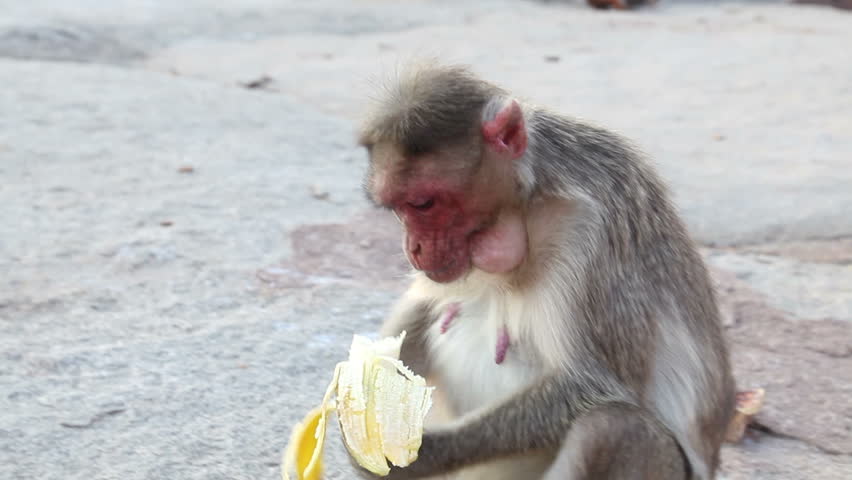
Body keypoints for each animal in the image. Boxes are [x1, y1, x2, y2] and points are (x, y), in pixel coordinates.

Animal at [352, 64, 732, 480]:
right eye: (396, 208)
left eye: (423, 204)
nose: (413, 248)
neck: (528, 203)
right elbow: (421, 306)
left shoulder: (590, 231)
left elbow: (590, 383)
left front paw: (424, 453)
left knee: (611, 426)